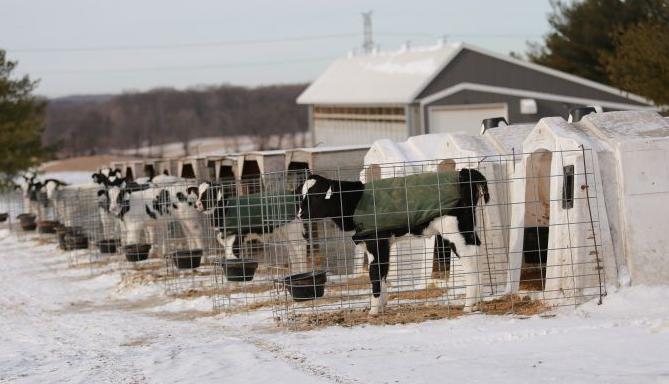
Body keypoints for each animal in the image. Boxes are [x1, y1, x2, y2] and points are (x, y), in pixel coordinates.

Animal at [298, 170, 490, 314]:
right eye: (301, 195)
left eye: (316, 195)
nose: (300, 214)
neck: (355, 201)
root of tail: (465, 172)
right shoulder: (380, 242)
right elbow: (383, 271)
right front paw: (382, 305)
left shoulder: (376, 240)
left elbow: (375, 272)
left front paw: (373, 310)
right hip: (468, 229)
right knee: (478, 252)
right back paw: (478, 300)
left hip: (454, 230)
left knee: (469, 260)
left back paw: (468, 305)